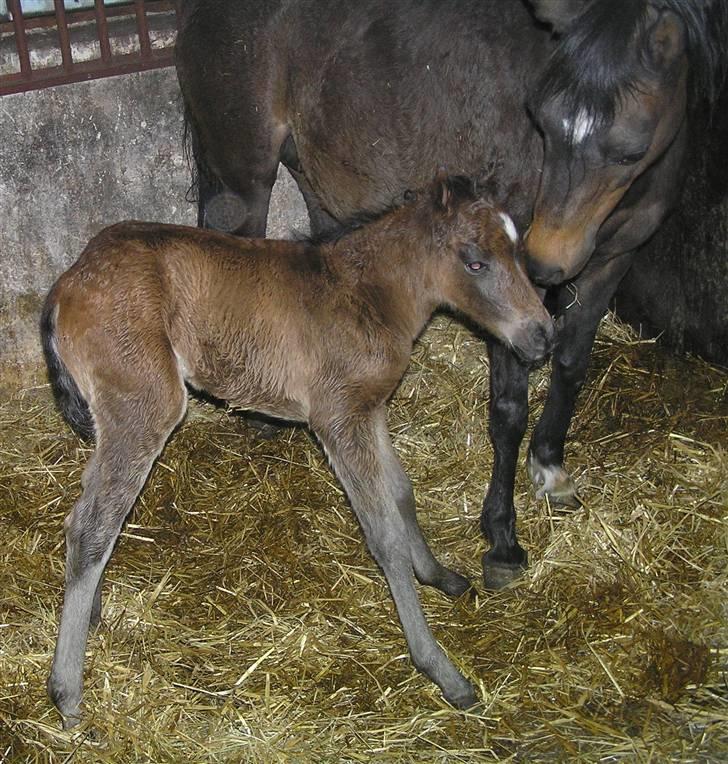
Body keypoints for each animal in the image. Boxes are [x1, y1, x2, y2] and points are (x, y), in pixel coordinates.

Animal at [42, 176, 554, 727]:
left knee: (90, 512)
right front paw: (441, 669)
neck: (369, 294)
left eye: (519, 252)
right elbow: (384, 536)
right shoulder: (338, 417)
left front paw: (438, 574)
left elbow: (401, 491)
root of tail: (68, 281)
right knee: (93, 525)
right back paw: (67, 694)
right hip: (145, 404)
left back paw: (90, 614)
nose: (543, 335)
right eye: (475, 262)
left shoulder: (369, 409)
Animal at [175, 0, 727, 588]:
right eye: (541, 121)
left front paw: (550, 468)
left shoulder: (611, 263)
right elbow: (509, 408)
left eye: (628, 150)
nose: (544, 260)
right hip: (243, 174)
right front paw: (503, 539)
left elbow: (572, 363)